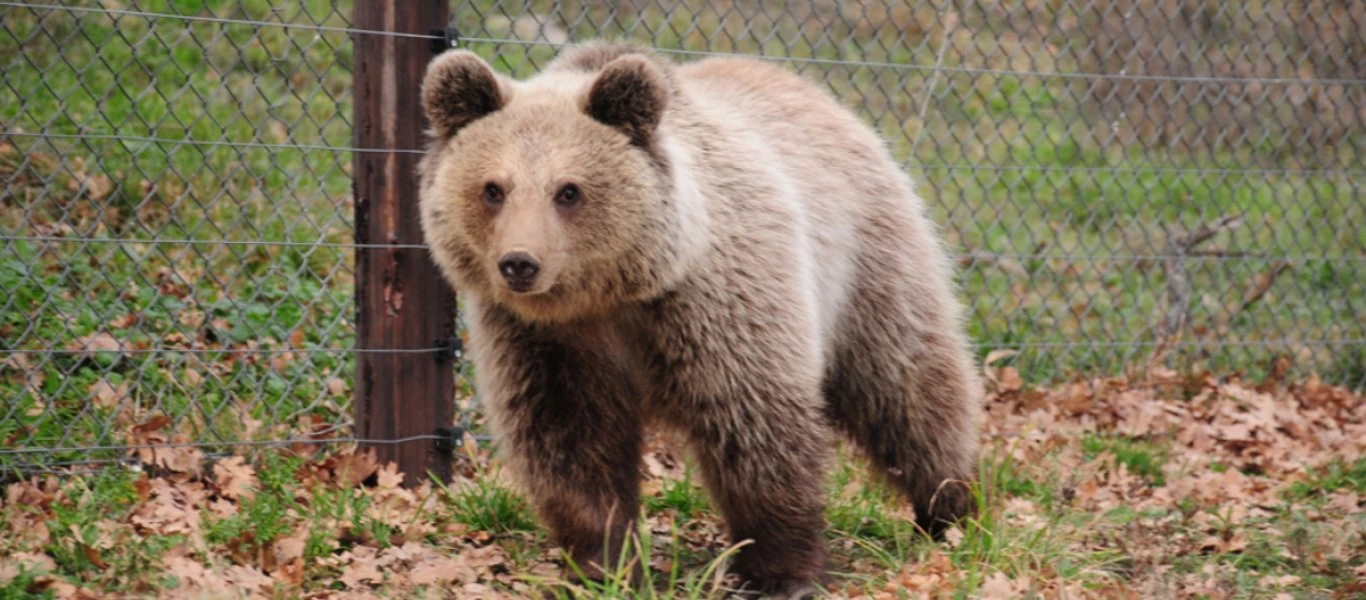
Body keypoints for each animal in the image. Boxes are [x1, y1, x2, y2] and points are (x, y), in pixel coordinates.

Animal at [417, 41, 982, 597]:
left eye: (568, 190)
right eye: (493, 188)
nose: (519, 262)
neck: (610, 295)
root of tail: (817, 94)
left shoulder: (713, 306)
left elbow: (755, 425)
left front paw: (782, 574)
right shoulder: (544, 341)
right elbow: (570, 443)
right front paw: (603, 566)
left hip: (868, 267)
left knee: (908, 388)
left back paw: (950, 511)